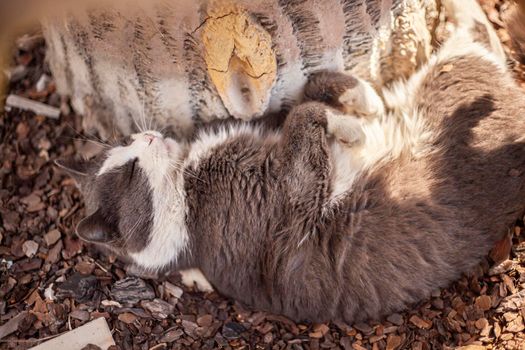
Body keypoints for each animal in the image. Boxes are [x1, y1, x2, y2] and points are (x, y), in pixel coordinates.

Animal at [57, 0, 524, 322]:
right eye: (131, 171)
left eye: (127, 141)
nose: (149, 136)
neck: (187, 178)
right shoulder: (292, 197)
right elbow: (306, 116)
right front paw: (356, 125)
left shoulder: (270, 121)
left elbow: (308, 92)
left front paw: (361, 102)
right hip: (454, 80)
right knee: (478, 45)